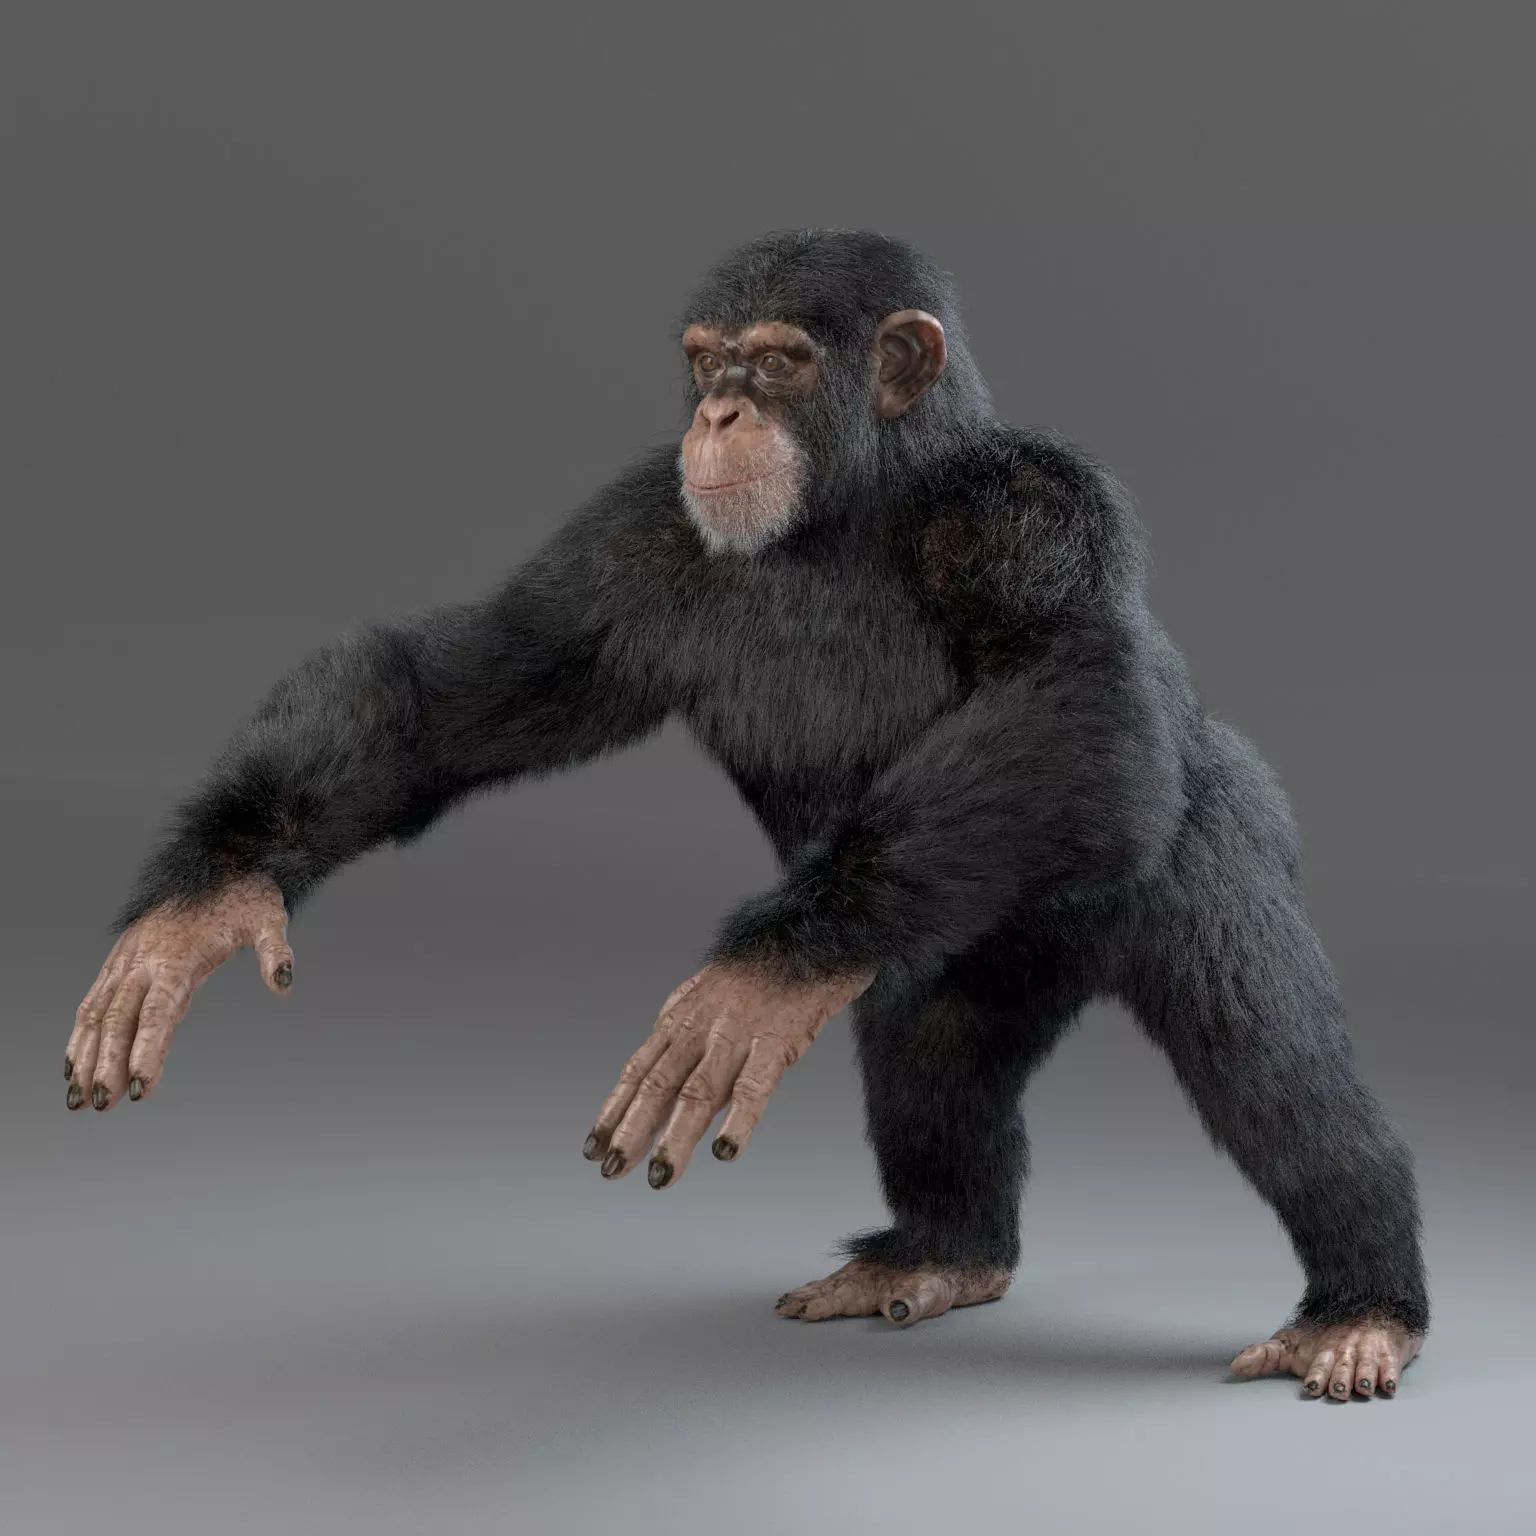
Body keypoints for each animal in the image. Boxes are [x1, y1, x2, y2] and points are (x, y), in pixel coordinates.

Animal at [67, 229, 1426, 1402]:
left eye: (778, 360)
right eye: (707, 359)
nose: (719, 412)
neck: (851, 509)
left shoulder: (1030, 509)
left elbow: (1078, 691)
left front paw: (750, 982)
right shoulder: (625, 545)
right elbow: (459, 689)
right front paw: (204, 901)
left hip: (1209, 851)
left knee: (1265, 1052)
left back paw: (1361, 1302)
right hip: (947, 959)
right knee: (931, 1066)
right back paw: (942, 1249)